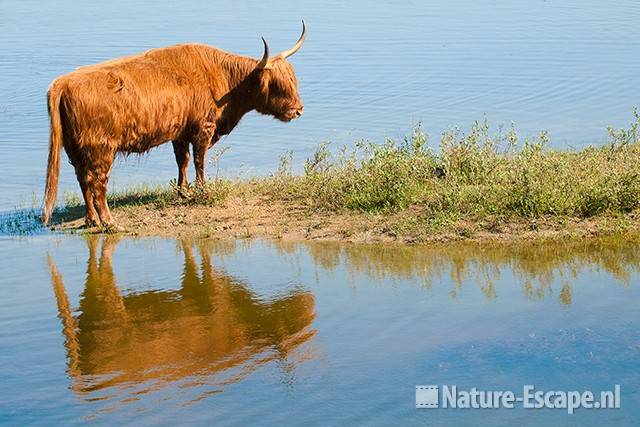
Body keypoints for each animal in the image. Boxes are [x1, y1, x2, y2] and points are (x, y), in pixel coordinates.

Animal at [43, 21, 308, 231]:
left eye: (293, 80)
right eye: (277, 85)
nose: (298, 110)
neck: (225, 81)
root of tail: (62, 83)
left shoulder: (180, 133)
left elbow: (183, 161)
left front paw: (183, 191)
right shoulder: (203, 129)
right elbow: (200, 161)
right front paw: (201, 190)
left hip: (75, 150)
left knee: (82, 179)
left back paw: (91, 220)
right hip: (101, 148)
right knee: (96, 183)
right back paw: (109, 223)